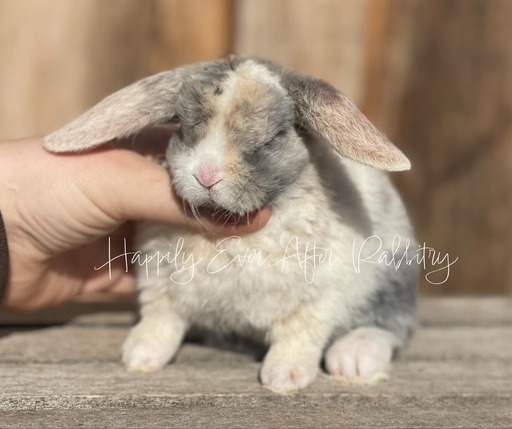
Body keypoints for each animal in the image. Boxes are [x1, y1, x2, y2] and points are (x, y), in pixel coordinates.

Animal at [44, 56, 418, 392]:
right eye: (184, 128)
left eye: (272, 139)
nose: (207, 175)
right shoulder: (160, 282)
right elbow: (161, 319)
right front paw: (140, 355)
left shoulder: (317, 298)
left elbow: (298, 335)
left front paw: (284, 378)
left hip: (393, 273)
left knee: (392, 325)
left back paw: (354, 359)